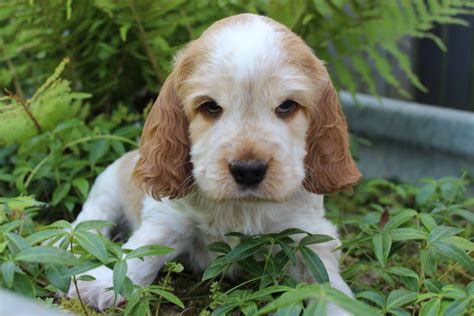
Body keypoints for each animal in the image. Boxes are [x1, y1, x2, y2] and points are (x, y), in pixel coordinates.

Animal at [68, 12, 362, 314]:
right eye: (210, 106)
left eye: (286, 106)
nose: (248, 171)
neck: (242, 207)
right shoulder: (169, 218)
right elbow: (145, 248)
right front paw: (105, 282)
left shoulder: (308, 233)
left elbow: (326, 280)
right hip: (107, 187)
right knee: (88, 219)